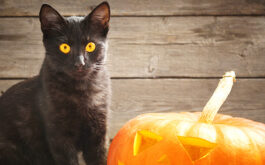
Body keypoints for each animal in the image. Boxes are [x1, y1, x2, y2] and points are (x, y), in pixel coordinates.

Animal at [0, 1, 110, 165]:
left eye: (90, 46)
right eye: (64, 47)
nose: (80, 63)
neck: (81, 92)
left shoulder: (98, 133)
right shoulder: (59, 137)